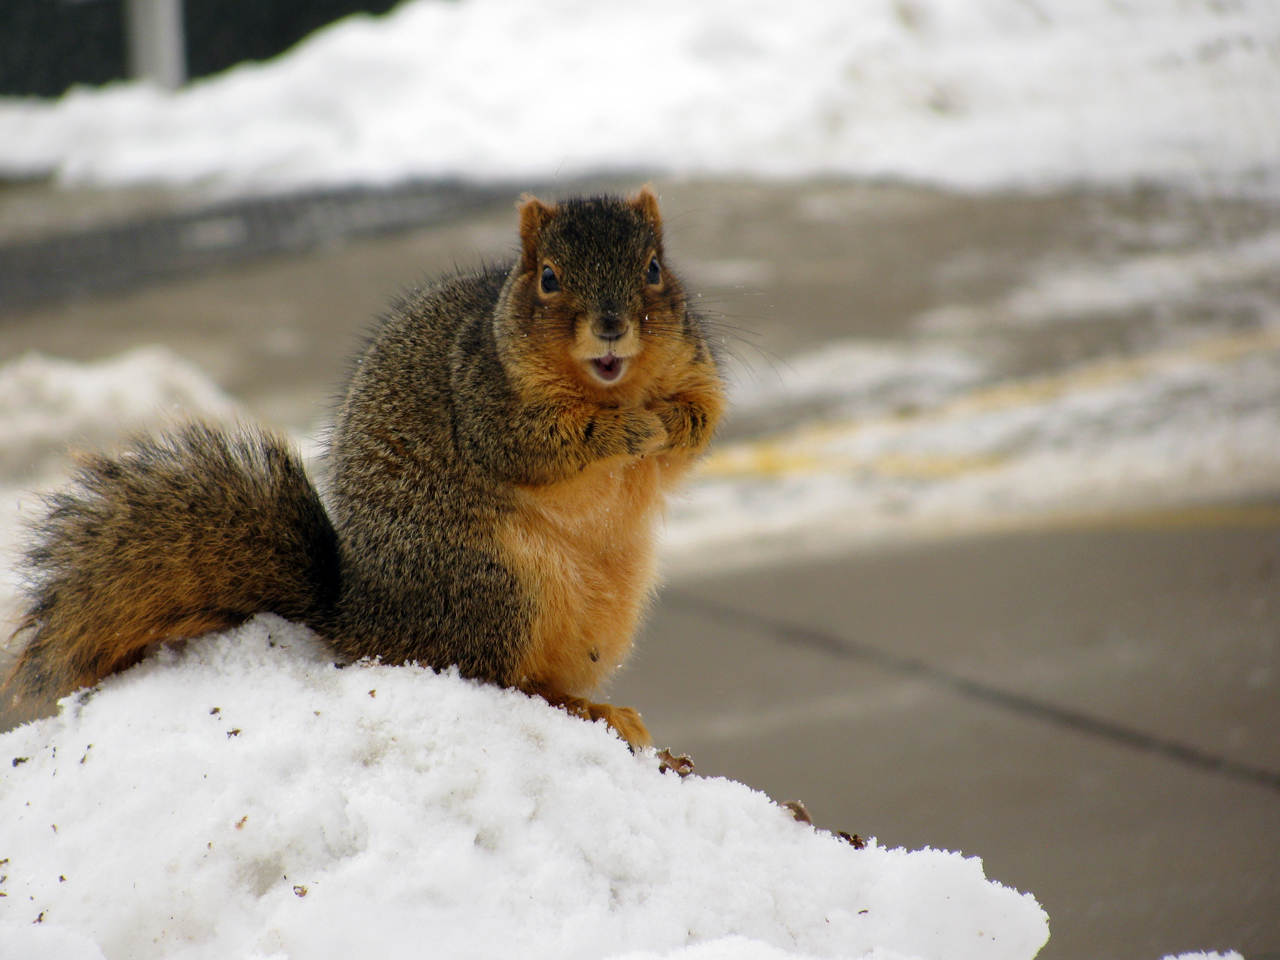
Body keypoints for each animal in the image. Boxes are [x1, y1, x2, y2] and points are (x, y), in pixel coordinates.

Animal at [5, 188, 727, 752]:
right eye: (548, 278)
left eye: (655, 268)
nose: (610, 326)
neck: (612, 385)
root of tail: (364, 618)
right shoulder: (484, 400)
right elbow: (534, 445)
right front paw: (629, 431)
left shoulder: (695, 362)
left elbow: (705, 416)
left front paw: (677, 423)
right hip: (500, 585)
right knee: (500, 677)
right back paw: (575, 706)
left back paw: (603, 709)